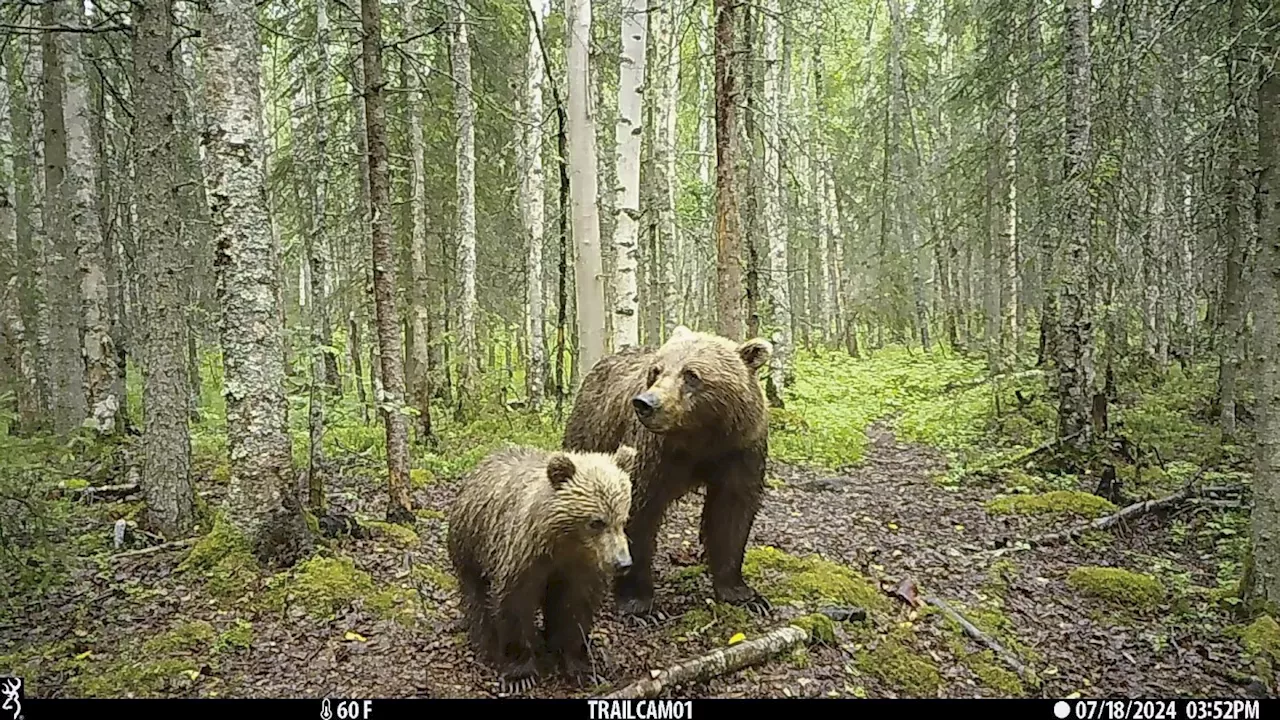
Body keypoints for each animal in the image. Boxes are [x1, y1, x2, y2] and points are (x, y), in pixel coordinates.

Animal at [560, 327, 768, 614]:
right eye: (656, 370)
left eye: (691, 374)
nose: (645, 403)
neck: (700, 440)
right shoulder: (654, 452)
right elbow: (638, 509)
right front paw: (636, 600)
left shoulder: (740, 449)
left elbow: (732, 511)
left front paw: (742, 593)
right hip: (591, 430)